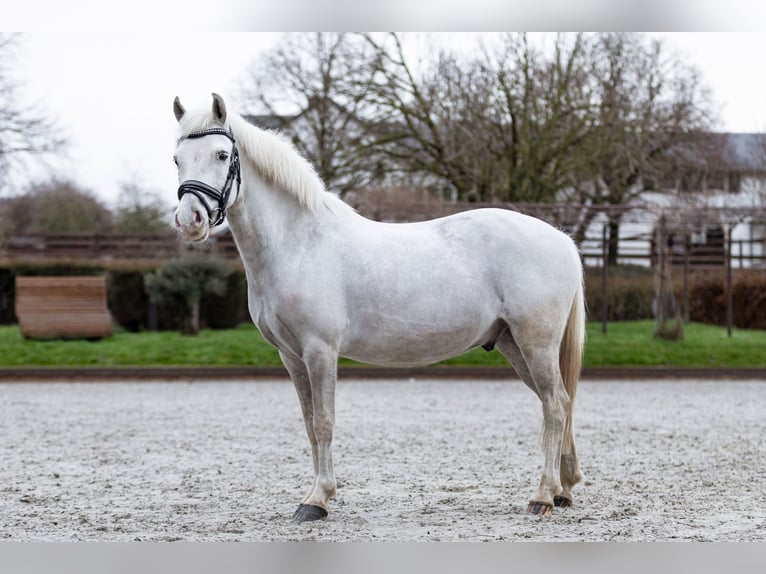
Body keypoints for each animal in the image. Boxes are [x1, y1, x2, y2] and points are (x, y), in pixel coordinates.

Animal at [172, 93, 585, 523]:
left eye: (221, 155)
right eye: (176, 159)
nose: (190, 221)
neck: (299, 243)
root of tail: (561, 239)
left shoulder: (320, 350)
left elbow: (324, 421)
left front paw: (317, 499)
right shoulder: (291, 355)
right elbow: (308, 423)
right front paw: (316, 493)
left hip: (535, 342)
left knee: (556, 406)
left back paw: (542, 495)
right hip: (512, 343)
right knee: (558, 403)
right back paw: (563, 489)